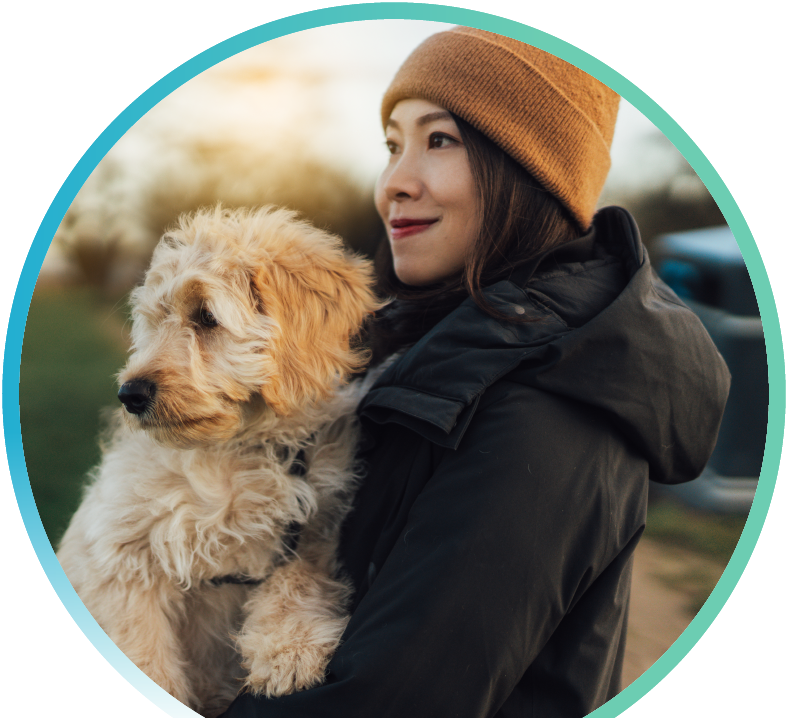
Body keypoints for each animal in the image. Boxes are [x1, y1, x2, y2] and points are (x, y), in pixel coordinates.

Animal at [57, 205, 380, 716]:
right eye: (155, 320)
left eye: (207, 317)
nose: (129, 395)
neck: (240, 448)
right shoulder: (121, 555)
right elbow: (144, 653)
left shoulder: (310, 528)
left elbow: (298, 580)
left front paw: (291, 649)